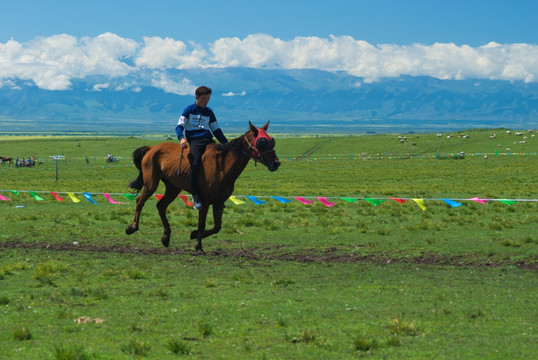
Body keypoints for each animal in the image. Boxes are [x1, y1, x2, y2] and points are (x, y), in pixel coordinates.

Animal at [123, 121, 278, 253]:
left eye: (272, 140)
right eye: (262, 142)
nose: (276, 163)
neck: (223, 165)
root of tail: (152, 148)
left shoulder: (219, 202)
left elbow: (217, 227)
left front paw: (193, 234)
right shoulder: (204, 200)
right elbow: (202, 223)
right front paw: (198, 247)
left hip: (173, 188)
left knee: (161, 206)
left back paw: (166, 237)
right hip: (151, 184)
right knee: (140, 201)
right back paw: (132, 227)